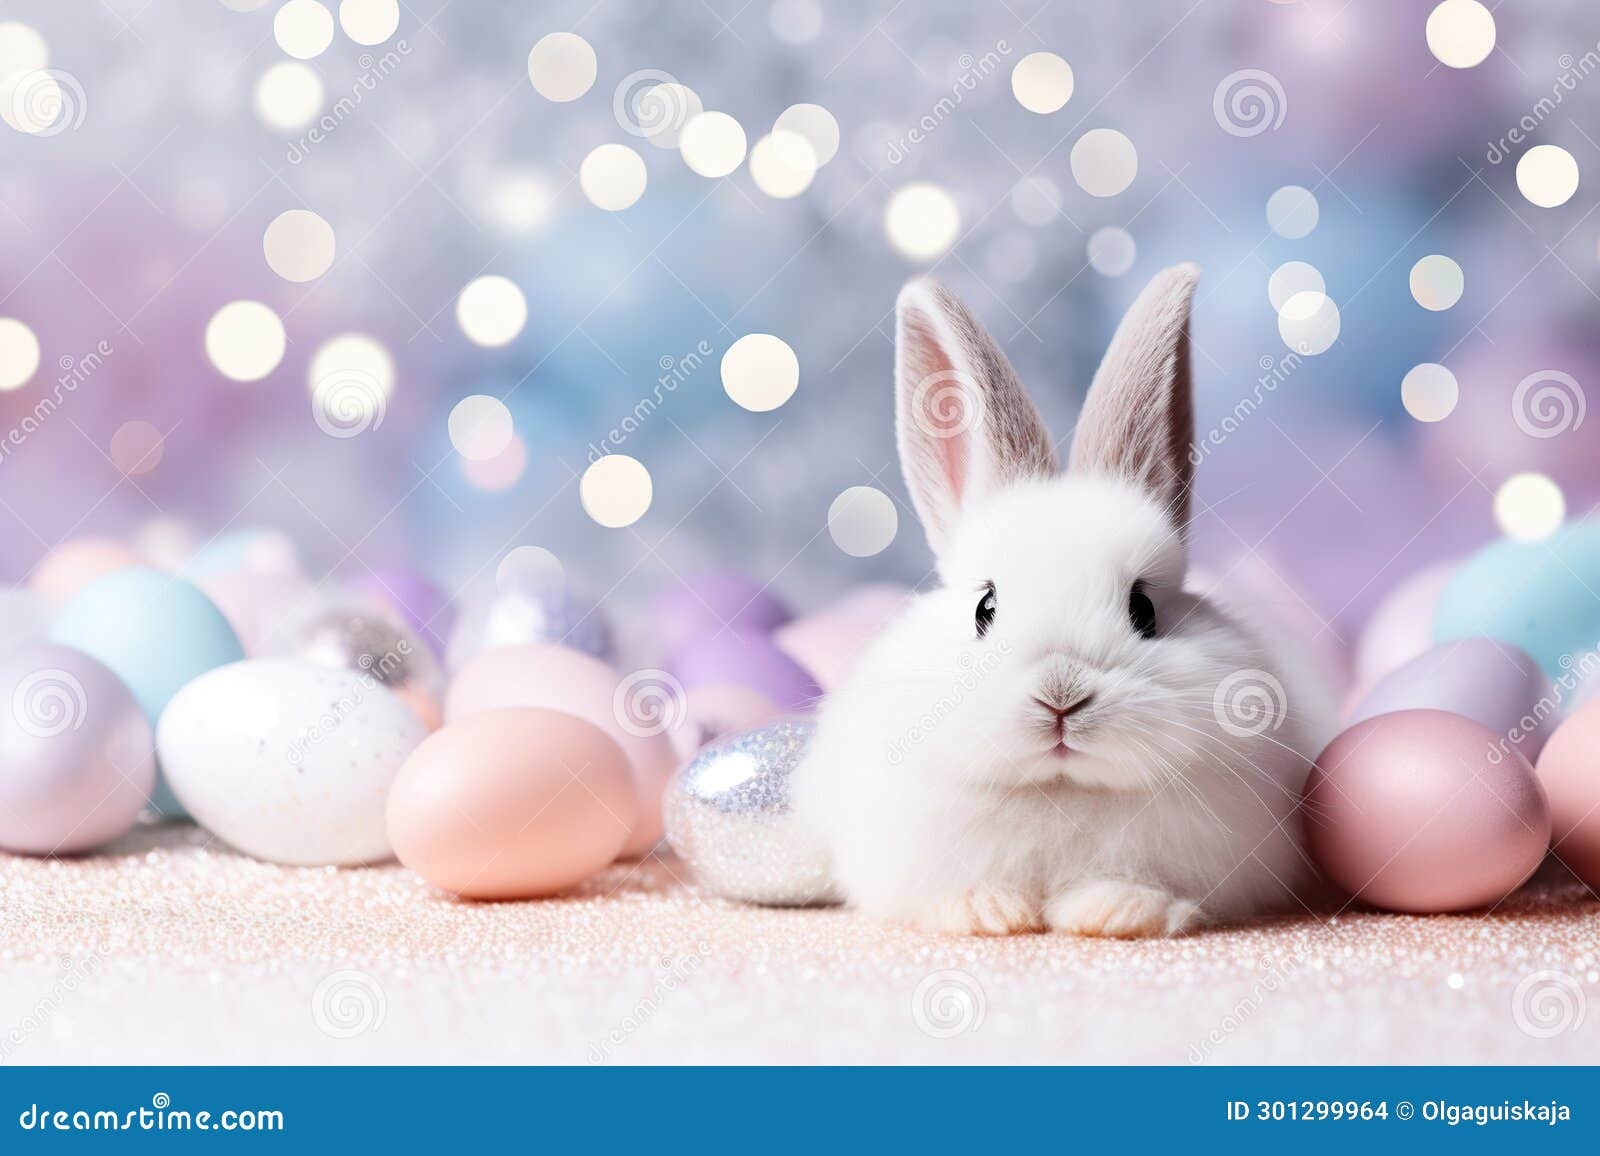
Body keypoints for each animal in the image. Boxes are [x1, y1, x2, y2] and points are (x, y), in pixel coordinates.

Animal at [790, 264, 1337, 938]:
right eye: (984, 610)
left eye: (1143, 611)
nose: (1061, 696)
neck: (1060, 790)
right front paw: (988, 912)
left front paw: (1115, 913)